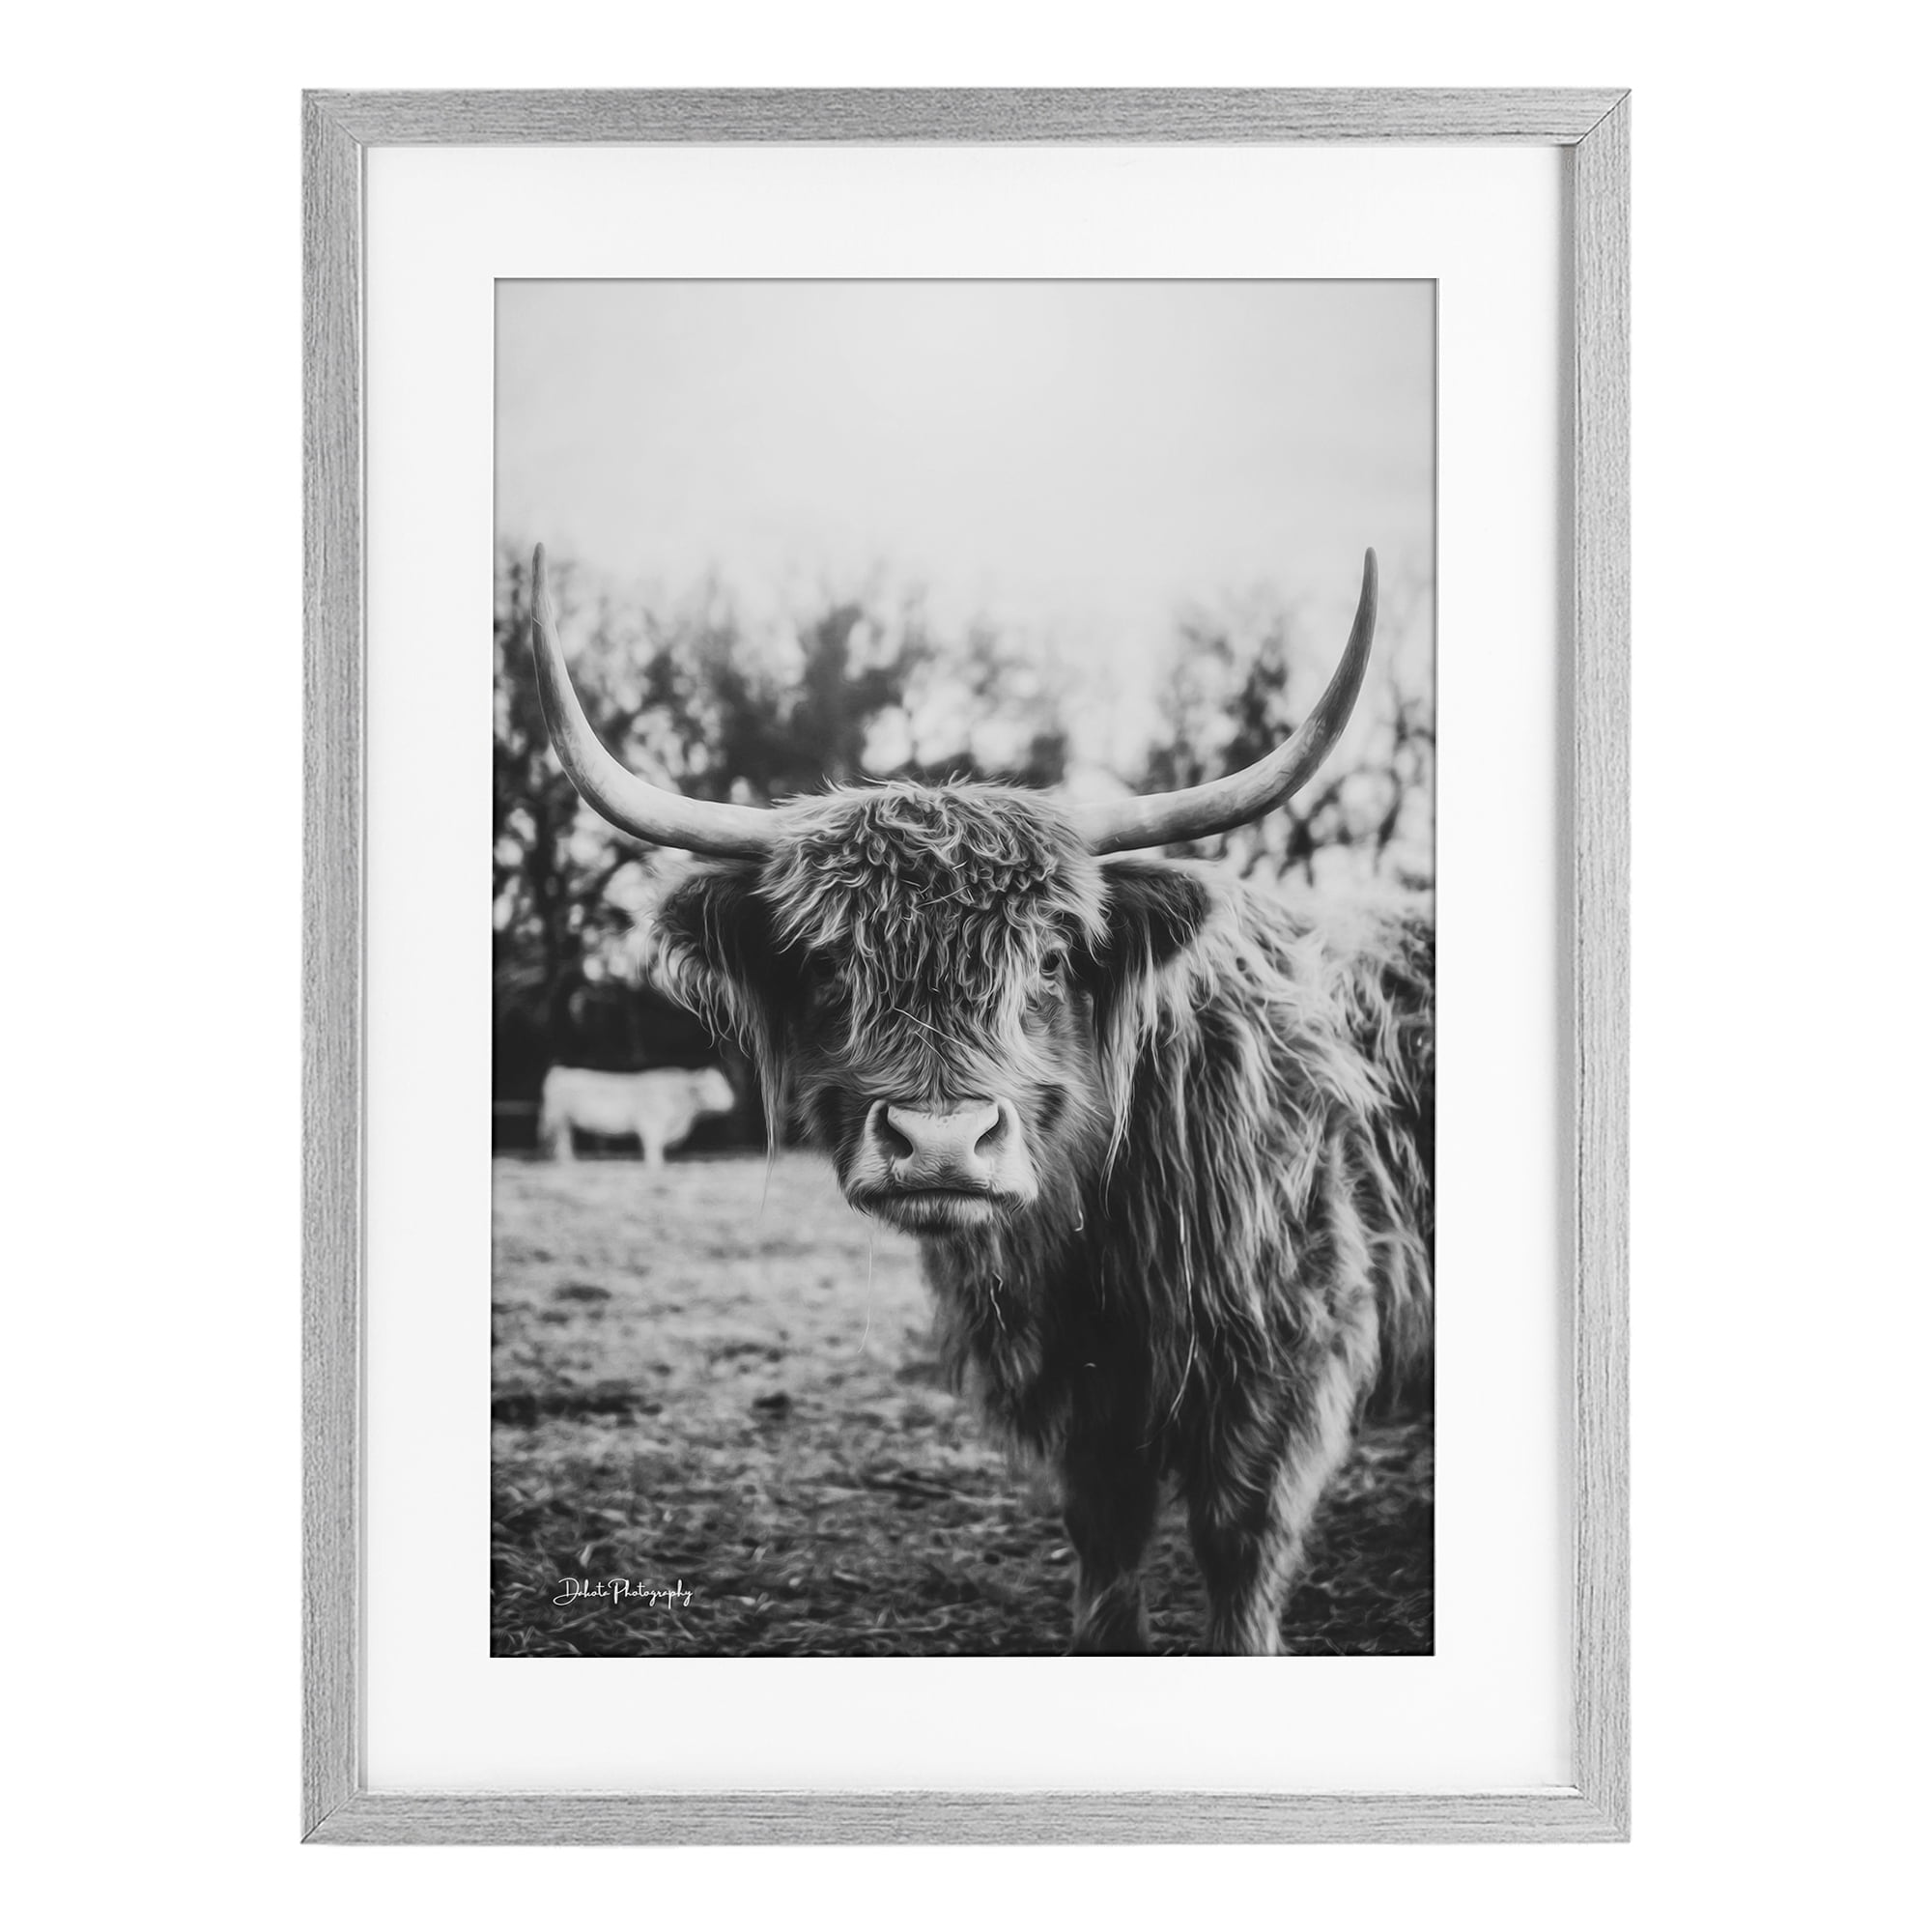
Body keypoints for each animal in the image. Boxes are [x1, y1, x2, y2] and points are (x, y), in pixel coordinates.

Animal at [538, 1064, 737, 1168]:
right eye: (710, 1088)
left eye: (724, 1084)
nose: (731, 1101)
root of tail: (560, 1071)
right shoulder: (651, 1124)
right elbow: (653, 1146)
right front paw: (656, 1165)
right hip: (559, 1119)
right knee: (562, 1141)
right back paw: (568, 1162)